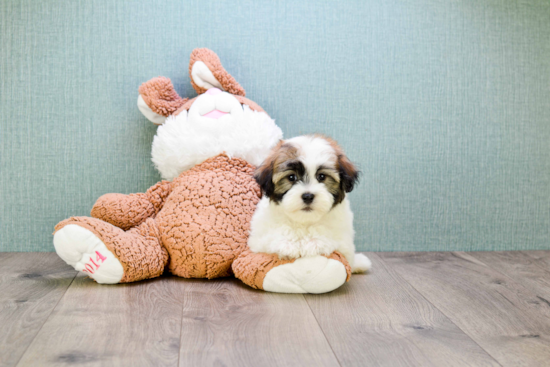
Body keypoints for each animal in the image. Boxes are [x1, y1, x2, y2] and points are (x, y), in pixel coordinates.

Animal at [249, 134, 370, 274]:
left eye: (322, 176)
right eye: (291, 177)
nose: (308, 196)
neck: (304, 221)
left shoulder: (344, 242)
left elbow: (328, 236)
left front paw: (312, 243)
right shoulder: (257, 240)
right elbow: (273, 235)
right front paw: (288, 245)